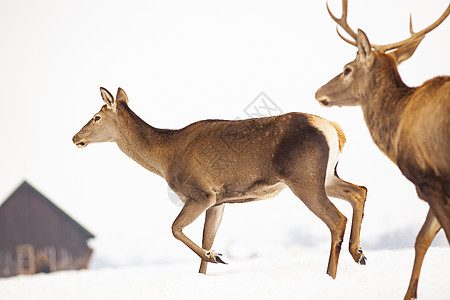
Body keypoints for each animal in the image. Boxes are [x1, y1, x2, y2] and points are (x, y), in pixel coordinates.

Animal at [74, 87, 370, 278]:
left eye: (96, 116)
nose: (76, 137)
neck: (166, 157)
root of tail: (335, 130)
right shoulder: (219, 201)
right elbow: (207, 237)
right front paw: (207, 267)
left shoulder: (201, 193)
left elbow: (175, 229)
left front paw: (216, 256)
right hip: (327, 176)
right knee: (359, 190)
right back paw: (359, 253)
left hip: (304, 178)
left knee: (337, 218)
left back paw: (330, 275)